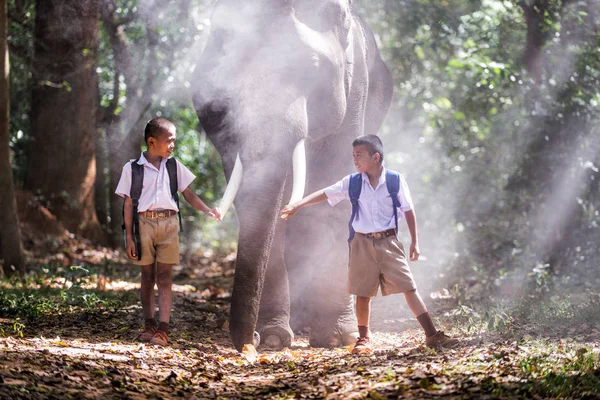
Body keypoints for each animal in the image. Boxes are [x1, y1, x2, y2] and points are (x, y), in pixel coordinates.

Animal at [192, 0, 394, 350]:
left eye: (311, 67)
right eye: (225, 74)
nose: (250, 341)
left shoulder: (356, 91)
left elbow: (335, 191)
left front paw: (336, 339)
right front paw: (273, 339)